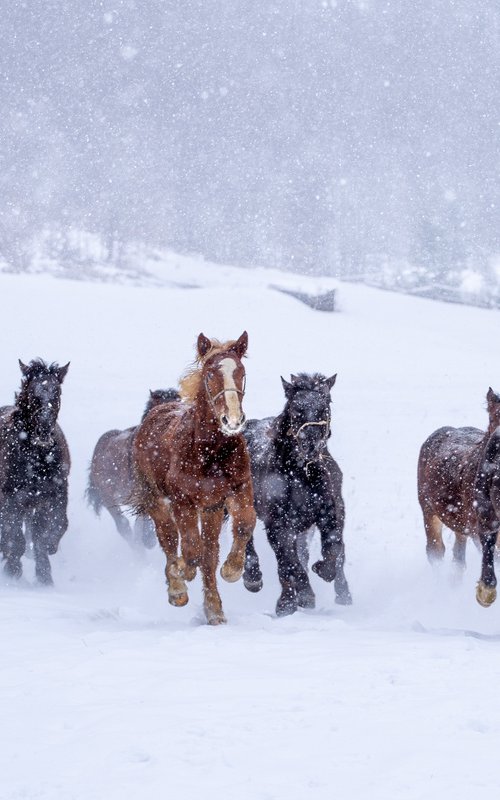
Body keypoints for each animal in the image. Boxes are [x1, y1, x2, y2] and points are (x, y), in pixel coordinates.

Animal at [0, 360, 70, 584]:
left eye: (57, 393)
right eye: (33, 394)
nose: (44, 431)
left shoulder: (52, 495)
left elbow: (53, 529)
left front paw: (44, 575)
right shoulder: (11, 498)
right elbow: (15, 537)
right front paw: (13, 570)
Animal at [131, 332, 256, 624]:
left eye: (241, 372)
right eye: (210, 374)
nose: (233, 420)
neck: (210, 452)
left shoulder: (235, 490)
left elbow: (244, 524)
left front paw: (232, 570)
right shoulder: (182, 501)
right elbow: (190, 549)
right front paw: (181, 571)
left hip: (210, 509)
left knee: (208, 555)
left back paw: (214, 610)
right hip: (156, 499)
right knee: (169, 538)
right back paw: (177, 588)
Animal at [242, 372, 352, 616]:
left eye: (325, 405)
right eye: (295, 408)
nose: (310, 445)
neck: (301, 475)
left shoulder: (329, 514)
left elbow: (332, 549)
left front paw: (322, 570)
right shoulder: (277, 524)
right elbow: (289, 563)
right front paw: (294, 600)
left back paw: (344, 595)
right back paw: (254, 579)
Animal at [416, 388, 500, 608]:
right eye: (493, 417)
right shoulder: (481, 527)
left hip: (459, 524)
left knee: (458, 558)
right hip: (429, 511)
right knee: (436, 551)